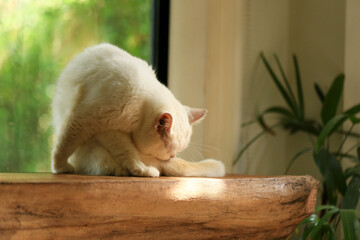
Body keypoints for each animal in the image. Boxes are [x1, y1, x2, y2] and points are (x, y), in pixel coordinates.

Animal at [51, 44, 225, 177]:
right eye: (171, 152)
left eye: (176, 152)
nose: (172, 157)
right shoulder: (88, 121)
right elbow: (64, 144)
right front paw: (60, 167)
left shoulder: (110, 130)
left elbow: (128, 154)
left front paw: (141, 169)